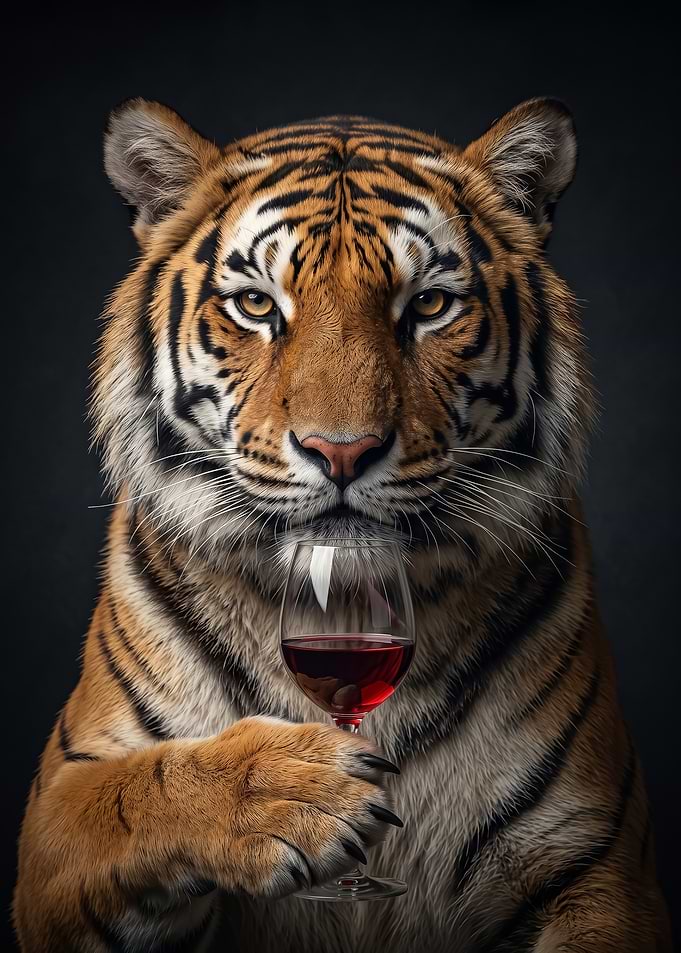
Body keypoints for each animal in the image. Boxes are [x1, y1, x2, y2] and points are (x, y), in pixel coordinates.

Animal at [13, 97, 672, 952]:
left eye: (427, 305)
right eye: (257, 304)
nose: (342, 450)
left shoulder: (600, 868)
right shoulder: (55, 815)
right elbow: (141, 787)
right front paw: (293, 791)